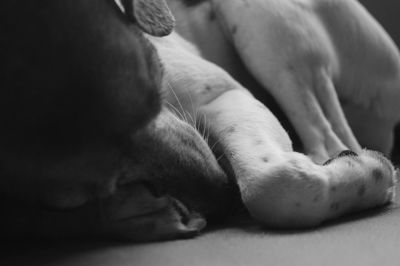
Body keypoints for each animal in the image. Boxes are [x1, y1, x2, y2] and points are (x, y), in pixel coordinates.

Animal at [0, 0, 398, 241]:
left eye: (157, 85)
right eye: (85, 190)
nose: (224, 198)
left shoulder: (224, 94)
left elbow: (274, 183)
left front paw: (371, 173)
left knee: (328, 140)